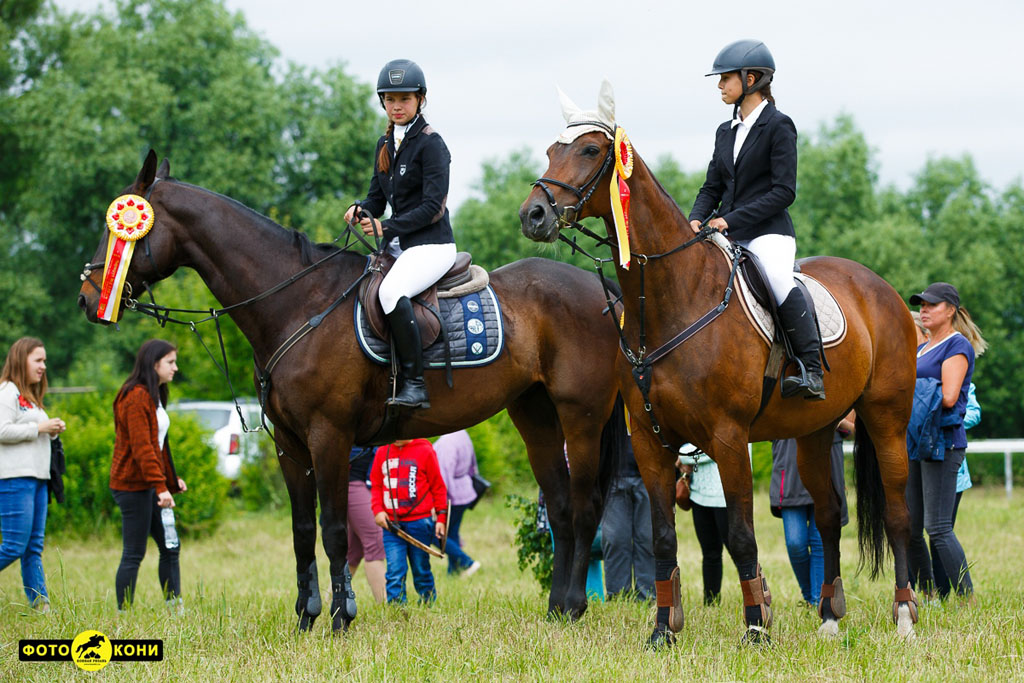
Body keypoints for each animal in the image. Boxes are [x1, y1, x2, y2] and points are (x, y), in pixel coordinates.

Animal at [77, 152, 622, 634]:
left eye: (121, 226)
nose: (86, 298)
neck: (297, 302)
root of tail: (601, 290)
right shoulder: (289, 445)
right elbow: (302, 532)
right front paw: (306, 618)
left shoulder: (330, 437)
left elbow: (335, 531)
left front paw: (341, 618)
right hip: (534, 415)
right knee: (560, 507)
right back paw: (555, 610)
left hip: (582, 417)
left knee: (585, 506)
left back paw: (575, 607)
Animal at [520, 90, 921, 647]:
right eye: (550, 150)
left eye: (589, 150)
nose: (533, 215)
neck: (673, 300)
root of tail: (880, 287)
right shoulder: (651, 441)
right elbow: (663, 537)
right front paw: (663, 631)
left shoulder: (729, 439)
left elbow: (740, 535)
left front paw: (756, 627)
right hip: (814, 430)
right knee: (827, 515)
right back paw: (829, 618)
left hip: (886, 417)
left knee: (899, 511)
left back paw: (904, 615)